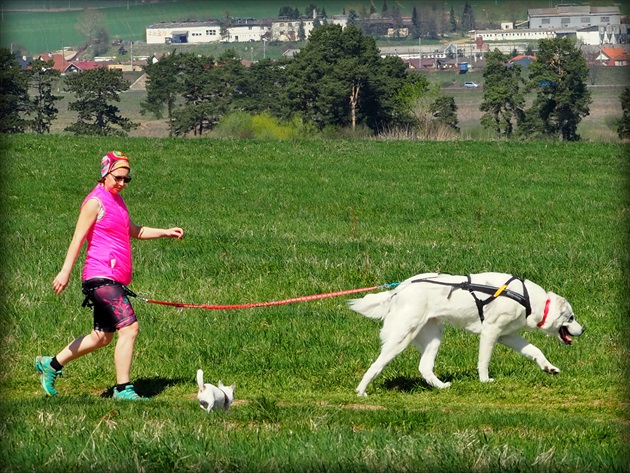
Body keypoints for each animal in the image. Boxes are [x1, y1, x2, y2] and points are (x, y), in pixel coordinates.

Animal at [348, 272, 584, 394]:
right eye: (571, 317)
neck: (527, 298)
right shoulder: (491, 331)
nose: (583, 330)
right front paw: (485, 381)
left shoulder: (506, 335)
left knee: (424, 368)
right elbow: (484, 361)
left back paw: (441, 387)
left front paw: (549, 368)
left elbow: (535, 351)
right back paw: (361, 391)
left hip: (434, 336)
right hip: (401, 338)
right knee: (376, 365)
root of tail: (399, 289)